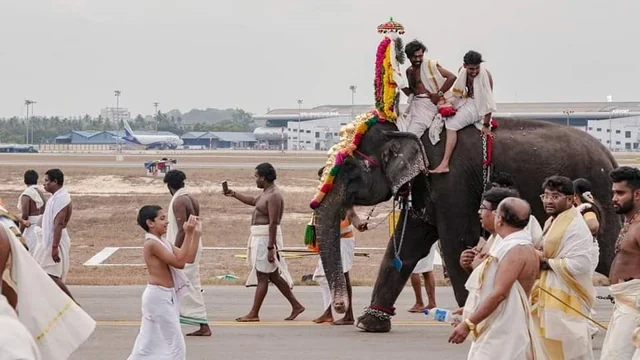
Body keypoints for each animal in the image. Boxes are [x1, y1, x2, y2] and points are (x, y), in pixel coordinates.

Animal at [310, 109, 620, 332]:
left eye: (349, 169)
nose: (340, 308)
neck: (404, 126)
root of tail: (611, 157)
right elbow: (404, 247)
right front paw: (369, 324)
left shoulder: (451, 182)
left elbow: (455, 242)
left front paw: (465, 319)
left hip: (600, 194)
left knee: (609, 253)